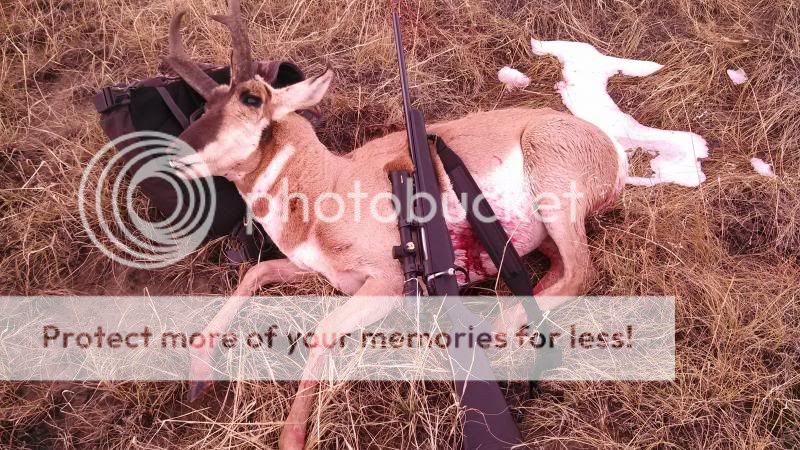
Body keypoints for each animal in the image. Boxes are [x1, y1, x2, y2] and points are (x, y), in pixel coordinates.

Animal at [165, 1, 625, 448]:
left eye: (251, 99)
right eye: (203, 105)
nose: (173, 152)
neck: (330, 181)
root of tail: (608, 148)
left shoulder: (385, 281)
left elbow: (324, 329)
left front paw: (292, 436)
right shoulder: (317, 271)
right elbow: (255, 272)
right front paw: (198, 374)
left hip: (553, 196)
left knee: (582, 270)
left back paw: (498, 329)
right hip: (540, 233)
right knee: (561, 268)